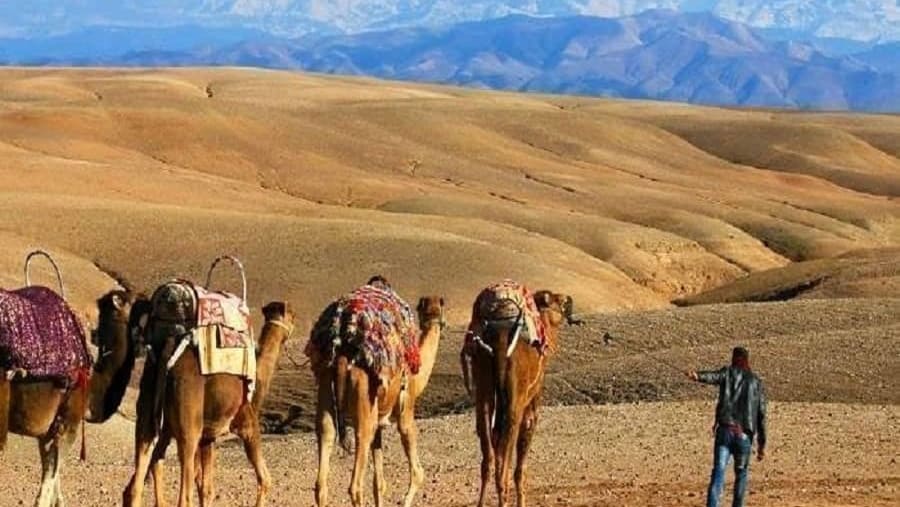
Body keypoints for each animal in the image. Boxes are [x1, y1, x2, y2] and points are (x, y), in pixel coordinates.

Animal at [116, 292, 295, 507]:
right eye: (292, 316)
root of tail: (168, 350)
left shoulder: (208, 436)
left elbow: (206, 489)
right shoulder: (247, 424)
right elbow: (265, 479)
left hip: (149, 412)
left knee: (138, 480)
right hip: (188, 424)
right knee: (183, 493)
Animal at [312, 294, 446, 507]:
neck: (417, 375)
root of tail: (342, 358)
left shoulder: (379, 423)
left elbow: (379, 483)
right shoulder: (406, 411)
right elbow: (418, 473)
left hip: (326, 388)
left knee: (325, 448)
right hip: (363, 401)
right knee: (355, 484)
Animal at [461, 287, 570, 507]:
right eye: (557, 301)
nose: (569, 300)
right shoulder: (532, 400)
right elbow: (521, 460)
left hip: (483, 382)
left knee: (488, 455)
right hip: (515, 399)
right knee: (504, 457)